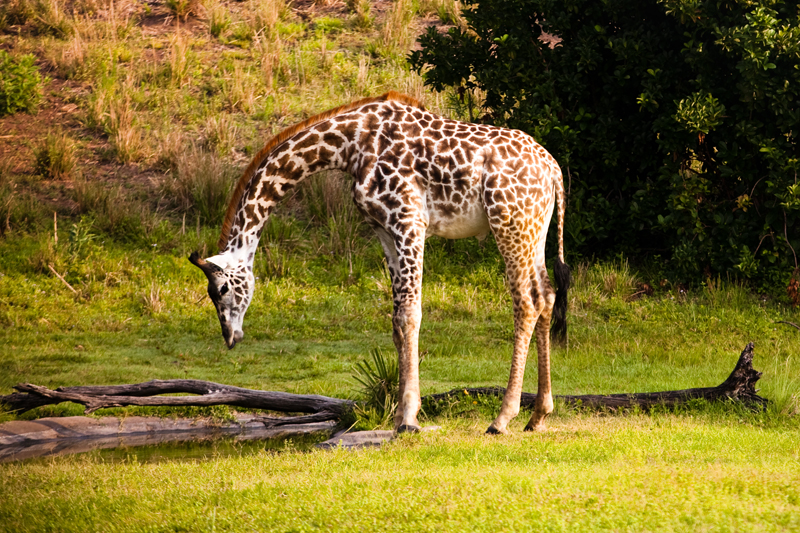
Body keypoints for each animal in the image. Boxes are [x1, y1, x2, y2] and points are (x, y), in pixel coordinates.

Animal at [191, 90, 572, 432]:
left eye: (221, 289)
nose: (230, 336)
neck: (349, 146)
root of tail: (554, 169)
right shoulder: (384, 230)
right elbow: (396, 320)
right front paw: (399, 415)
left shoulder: (410, 222)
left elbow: (410, 314)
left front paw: (409, 419)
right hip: (533, 230)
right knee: (547, 295)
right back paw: (538, 416)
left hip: (508, 224)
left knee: (525, 302)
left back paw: (502, 419)